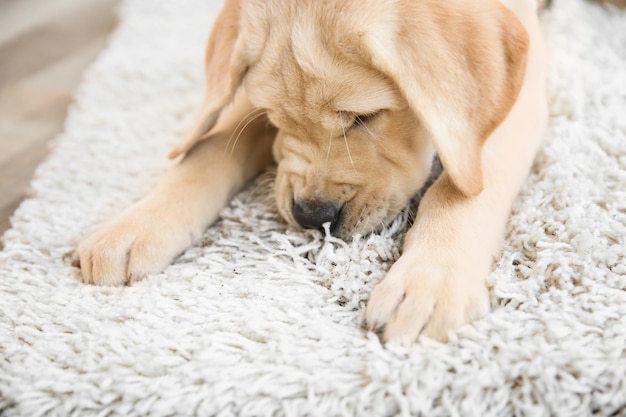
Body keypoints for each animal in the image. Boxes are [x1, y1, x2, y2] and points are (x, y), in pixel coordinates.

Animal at [74, 0, 544, 342]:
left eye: (363, 117)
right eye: (271, 115)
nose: (312, 217)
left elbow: (465, 183)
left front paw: (431, 280)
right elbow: (209, 146)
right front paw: (136, 224)